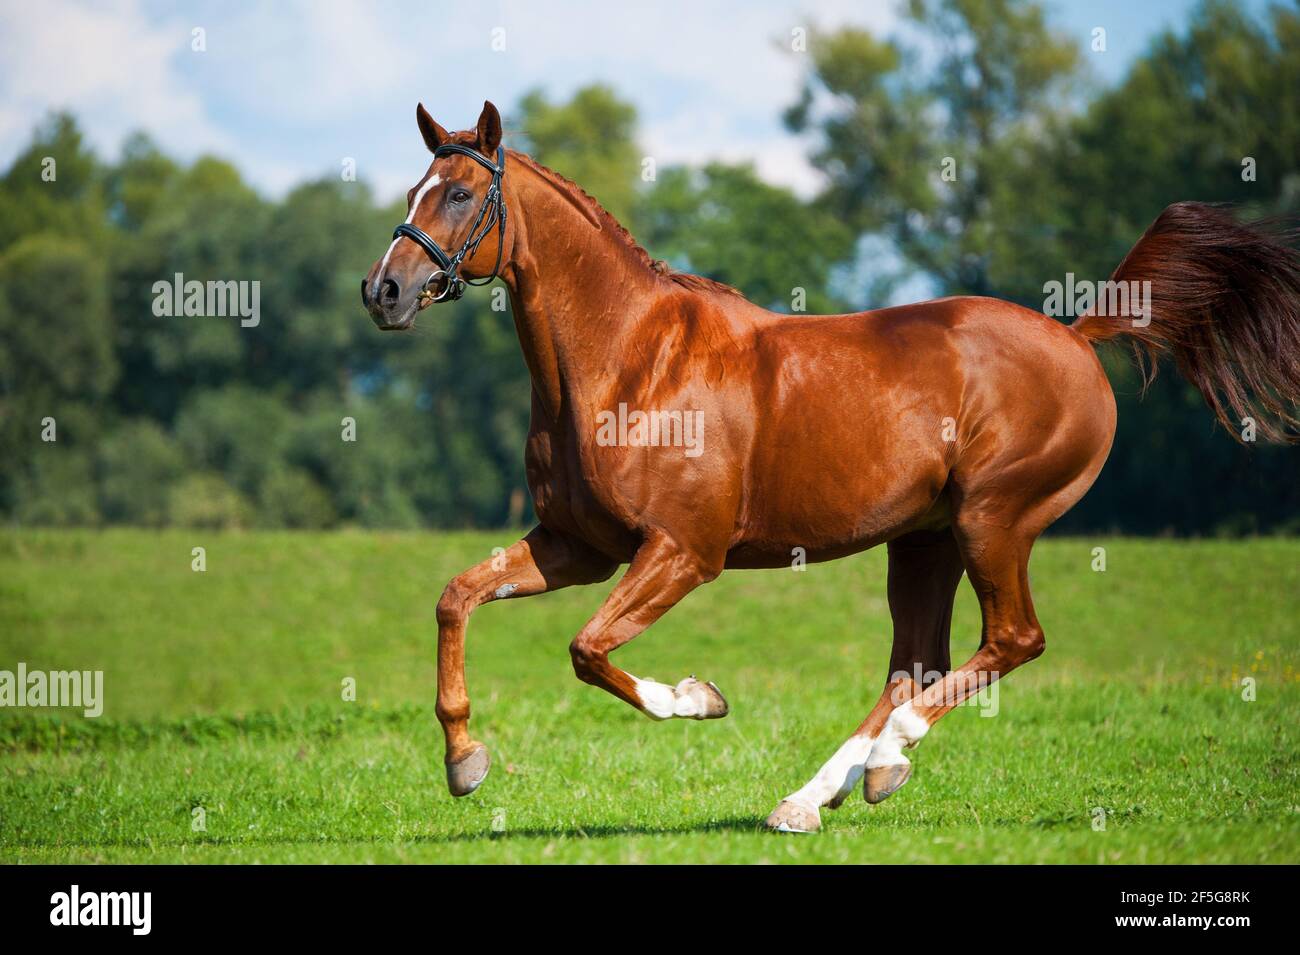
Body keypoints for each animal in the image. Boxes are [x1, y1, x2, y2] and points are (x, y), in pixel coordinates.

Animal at [364, 98, 1300, 831]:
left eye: (458, 192)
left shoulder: (681, 552)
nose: (384, 292)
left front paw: (701, 696)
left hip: (993, 521)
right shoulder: (577, 546)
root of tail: (1076, 336)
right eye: (411, 192)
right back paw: (820, 793)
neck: (630, 361)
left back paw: (886, 756)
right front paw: (464, 761)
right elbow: (457, 598)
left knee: (1011, 639)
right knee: (915, 662)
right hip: (923, 541)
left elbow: (587, 649)